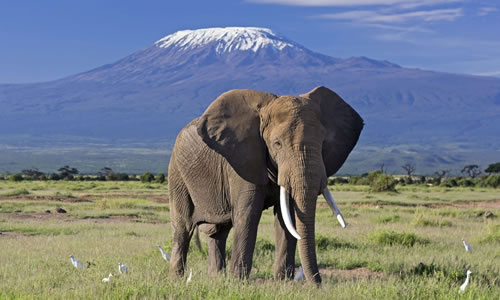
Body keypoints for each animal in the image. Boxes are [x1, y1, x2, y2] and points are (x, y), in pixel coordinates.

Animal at [168, 85, 364, 282]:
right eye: (277, 144)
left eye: (323, 143)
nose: (318, 284)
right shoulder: (242, 160)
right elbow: (249, 214)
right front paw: (238, 282)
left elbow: (287, 217)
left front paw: (283, 282)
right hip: (177, 173)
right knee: (184, 227)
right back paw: (178, 279)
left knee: (219, 231)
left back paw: (216, 279)